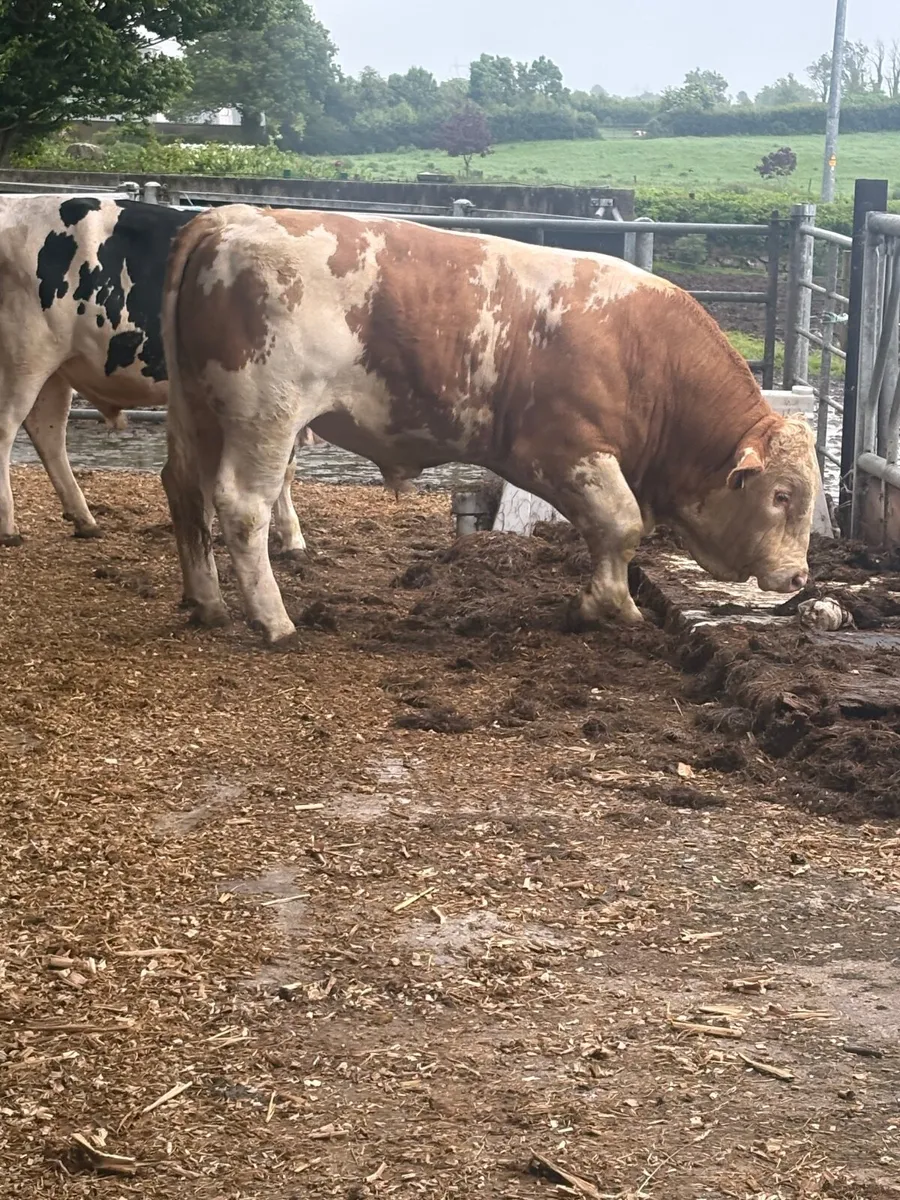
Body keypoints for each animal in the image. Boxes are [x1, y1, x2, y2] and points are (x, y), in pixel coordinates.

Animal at [0, 195, 305, 553]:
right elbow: (284, 468)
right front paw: (292, 537)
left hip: (56, 368)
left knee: (47, 431)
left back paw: (85, 520)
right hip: (24, 357)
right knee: (7, 429)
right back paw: (9, 527)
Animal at [159, 205, 818, 646]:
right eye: (781, 494)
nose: (798, 575)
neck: (645, 352)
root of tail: (229, 219)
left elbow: (611, 531)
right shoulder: (567, 449)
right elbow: (621, 525)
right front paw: (610, 606)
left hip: (198, 414)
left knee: (185, 488)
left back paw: (207, 601)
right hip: (265, 415)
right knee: (243, 505)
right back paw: (273, 621)